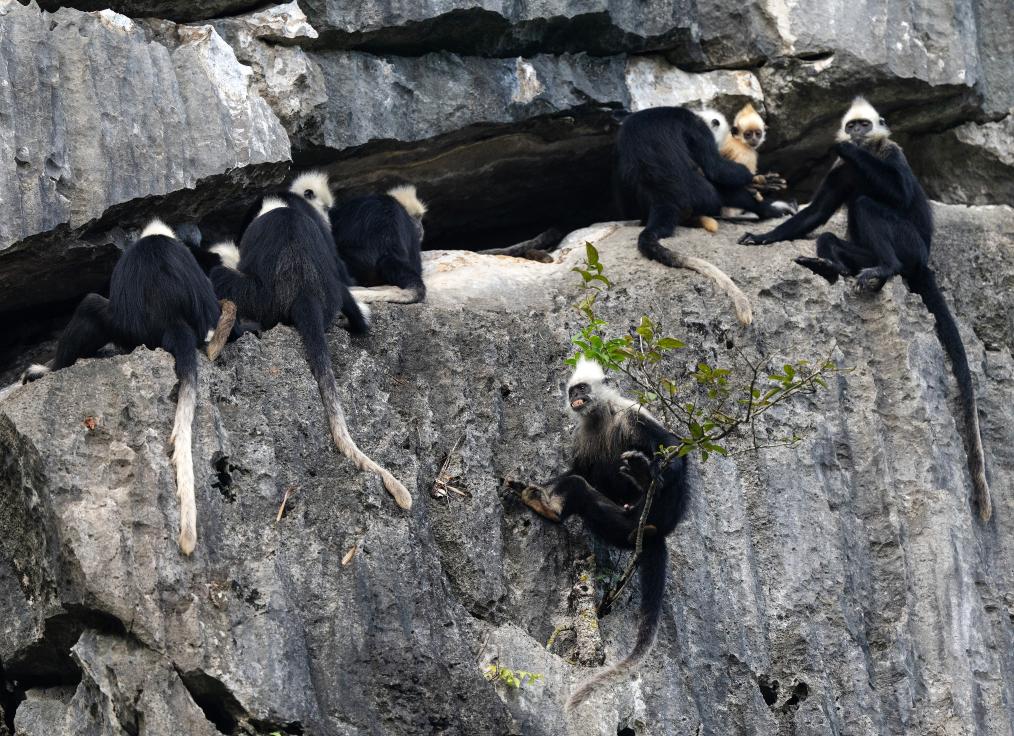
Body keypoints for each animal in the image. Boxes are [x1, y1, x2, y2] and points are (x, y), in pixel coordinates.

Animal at [738, 97, 989, 523]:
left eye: (862, 125)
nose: (854, 133)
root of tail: (922, 263)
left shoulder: (892, 153)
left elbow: (899, 192)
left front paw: (844, 147)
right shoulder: (841, 174)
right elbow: (815, 215)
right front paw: (762, 236)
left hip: (909, 247)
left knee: (870, 204)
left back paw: (885, 267)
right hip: (868, 253)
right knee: (830, 234)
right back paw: (830, 265)